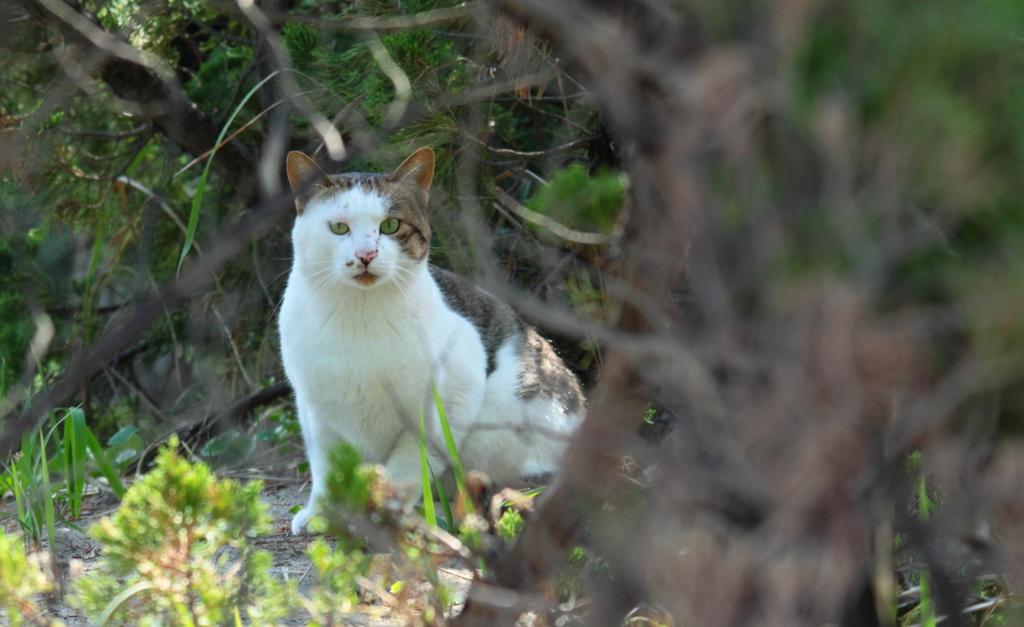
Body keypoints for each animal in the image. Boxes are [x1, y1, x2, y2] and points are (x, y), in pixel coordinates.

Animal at [280, 146, 585, 532]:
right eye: (338, 227)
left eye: (390, 225)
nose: (366, 255)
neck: (358, 314)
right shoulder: (314, 408)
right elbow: (325, 465)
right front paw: (323, 511)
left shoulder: (451, 397)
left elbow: (411, 465)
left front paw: (386, 512)